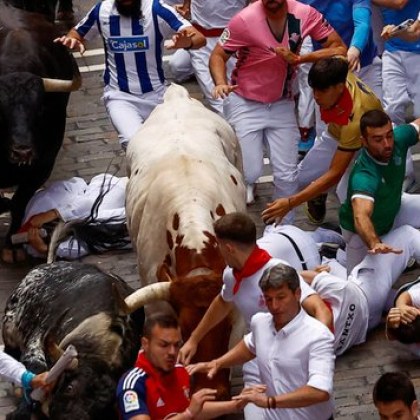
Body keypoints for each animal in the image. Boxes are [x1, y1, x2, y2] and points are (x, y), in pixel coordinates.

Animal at [0, 3, 80, 262]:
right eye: (0, 112)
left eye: (41, 110)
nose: (22, 151)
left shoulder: (42, 164)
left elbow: (19, 202)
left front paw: (12, 246)